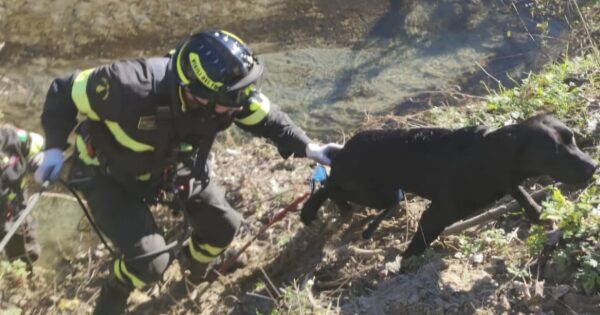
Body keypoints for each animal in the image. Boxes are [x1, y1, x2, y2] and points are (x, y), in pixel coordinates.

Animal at [302, 115, 596, 258]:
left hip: (382, 193)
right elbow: (417, 245)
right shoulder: (437, 213)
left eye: (572, 139)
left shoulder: (506, 181)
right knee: (329, 186)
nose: (593, 166)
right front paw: (404, 265)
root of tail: (345, 149)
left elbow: (523, 196)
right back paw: (311, 210)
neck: (489, 154)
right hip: (373, 192)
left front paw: (540, 216)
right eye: (554, 152)